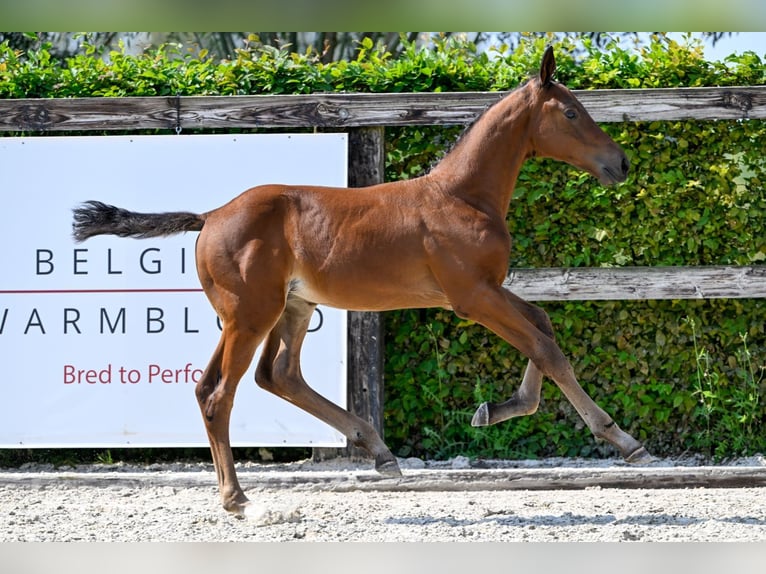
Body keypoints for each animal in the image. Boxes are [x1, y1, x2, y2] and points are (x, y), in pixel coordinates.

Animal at [72, 47, 652, 520]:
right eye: (571, 112)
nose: (621, 163)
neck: (461, 196)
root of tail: (210, 216)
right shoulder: (472, 296)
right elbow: (544, 346)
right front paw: (623, 439)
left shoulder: (487, 288)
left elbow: (544, 325)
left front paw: (495, 410)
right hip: (251, 314)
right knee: (219, 393)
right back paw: (240, 500)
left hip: (289, 309)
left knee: (275, 375)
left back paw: (378, 451)